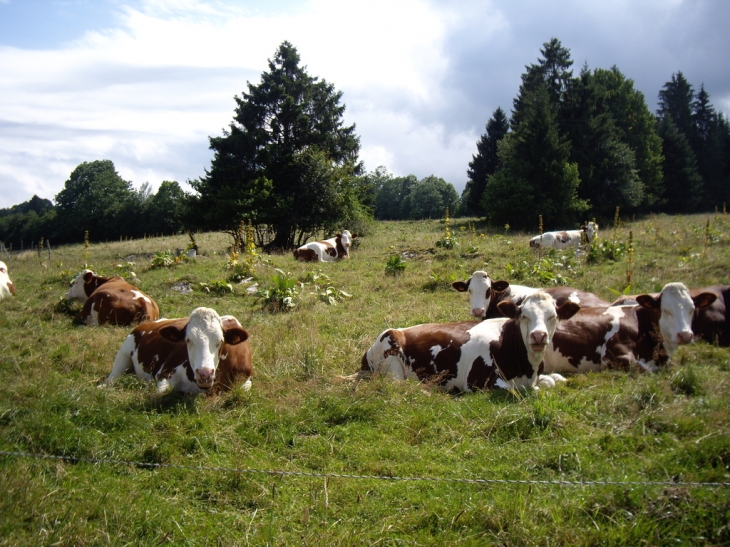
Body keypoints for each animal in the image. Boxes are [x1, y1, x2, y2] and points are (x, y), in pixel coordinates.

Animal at [104, 308, 253, 394]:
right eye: (188, 340)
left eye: (220, 341)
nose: (205, 373)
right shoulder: (164, 372)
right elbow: (161, 392)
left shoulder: (246, 379)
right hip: (123, 352)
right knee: (112, 378)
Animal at [354, 294, 580, 392]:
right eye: (523, 315)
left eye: (553, 316)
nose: (538, 336)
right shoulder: (479, 383)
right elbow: (518, 390)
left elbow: (552, 381)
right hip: (391, 363)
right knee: (400, 385)